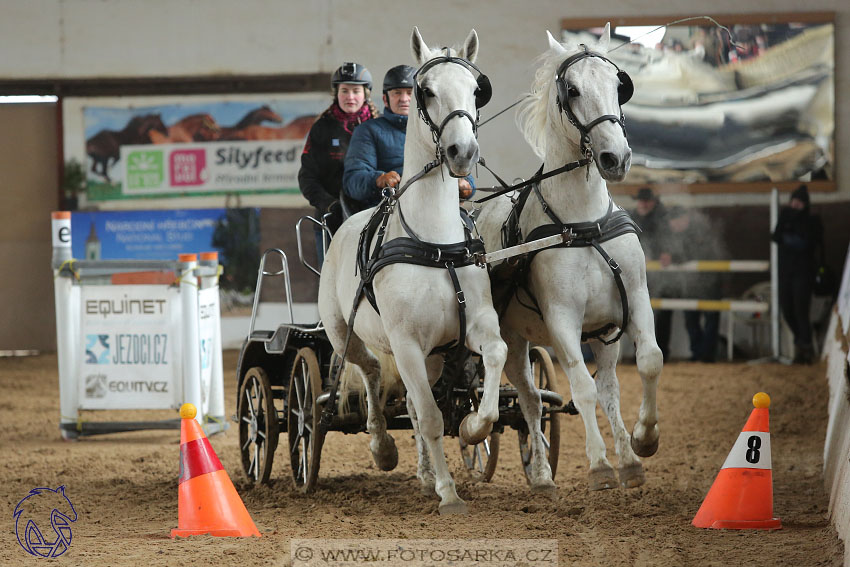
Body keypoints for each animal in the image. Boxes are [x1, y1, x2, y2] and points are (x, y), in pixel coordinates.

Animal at [318, 27, 504, 516]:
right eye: (427, 91)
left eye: (476, 90)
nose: (463, 151)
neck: (436, 246)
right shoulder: (405, 344)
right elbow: (433, 417)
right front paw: (450, 495)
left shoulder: (473, 327)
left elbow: (493, 363)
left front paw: (473, 428)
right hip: (347, 335)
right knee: (371, 375)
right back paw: (384, 449)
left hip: (434, 357)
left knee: (415, 408)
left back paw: (424, 475)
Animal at [476, 24, 664, 490]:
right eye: (573, 90)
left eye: (619, 84)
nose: (617, 158)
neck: (584, 224)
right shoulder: (562, 319)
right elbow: (581, 389)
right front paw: (599, 466)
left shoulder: (633, 300)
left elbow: (649, 362)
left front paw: (644, 441)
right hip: (515, 340)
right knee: (528, 400)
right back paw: (543, 475)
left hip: (604, 332)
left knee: (610, 386)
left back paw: (627, 460)